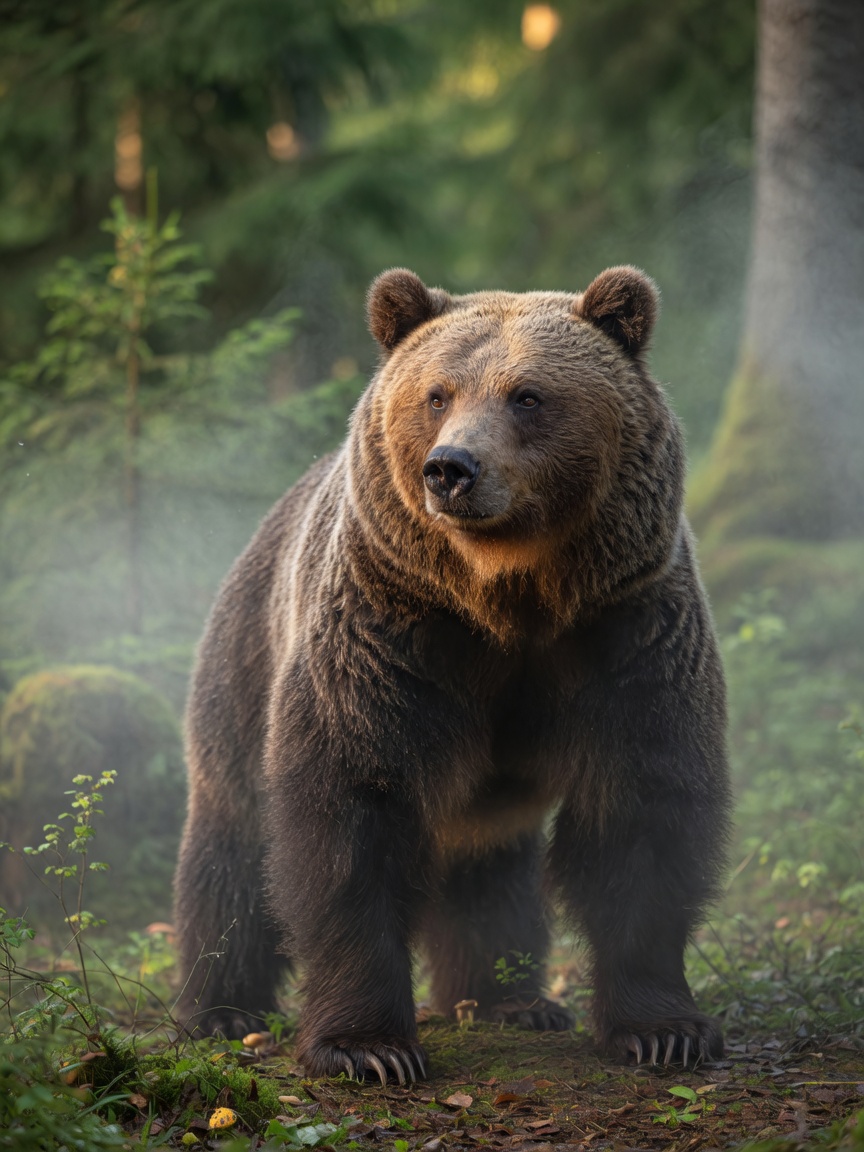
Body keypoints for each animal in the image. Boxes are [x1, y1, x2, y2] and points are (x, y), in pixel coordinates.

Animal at [174, 266, 731, 1083]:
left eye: (527, 395)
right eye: (437, 394)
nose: (451, 469)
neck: (506, 597)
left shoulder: (625, 632)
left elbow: (642, 812)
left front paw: (665, 1030)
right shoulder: (388, 636)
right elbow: (352, 815)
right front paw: (368, 1047)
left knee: (490, 863)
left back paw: (510, 999)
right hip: (245, 660)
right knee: (232, 840)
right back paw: (221, 1008)